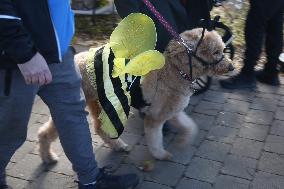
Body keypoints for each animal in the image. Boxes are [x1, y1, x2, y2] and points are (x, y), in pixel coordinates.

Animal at [37, 28, 233, 162]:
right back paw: (48, 158)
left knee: (99, 129)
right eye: (216, 52)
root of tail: (77, 60)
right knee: (47, 132)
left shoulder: (173, 112)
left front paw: (183, 140)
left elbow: (189, 126)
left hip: (98, 103)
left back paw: (118, 146)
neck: (174, 70)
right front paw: (161, 155)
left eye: (223, 49)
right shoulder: (154, 118)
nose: (231, 67)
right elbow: (155, 140)